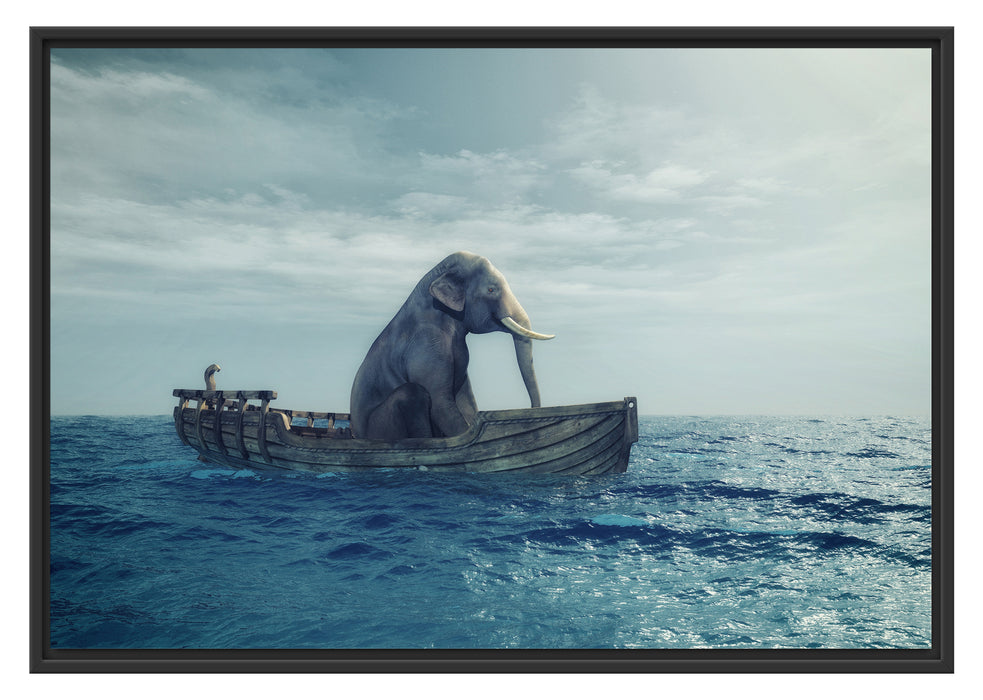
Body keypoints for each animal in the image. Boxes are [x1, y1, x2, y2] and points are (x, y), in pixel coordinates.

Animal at [349, 251, 554, 440]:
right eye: (491, 289)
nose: (533, 410)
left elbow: (466, 399)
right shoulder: (426, 345)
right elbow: (441, 403)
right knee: (412, 393)